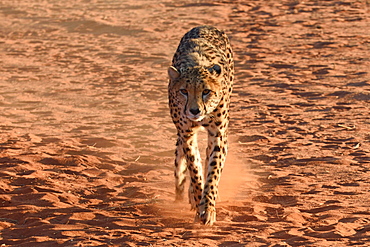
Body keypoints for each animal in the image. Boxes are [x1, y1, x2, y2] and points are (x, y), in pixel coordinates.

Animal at [168, 25, 234, 226]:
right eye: (183, 91)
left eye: (206, 91)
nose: (194, 111)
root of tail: (205, 26)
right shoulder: (187, 134)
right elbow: (195, 169)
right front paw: (199, 202)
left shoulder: (218, 135)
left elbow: (212, 172)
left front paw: (208, 208)